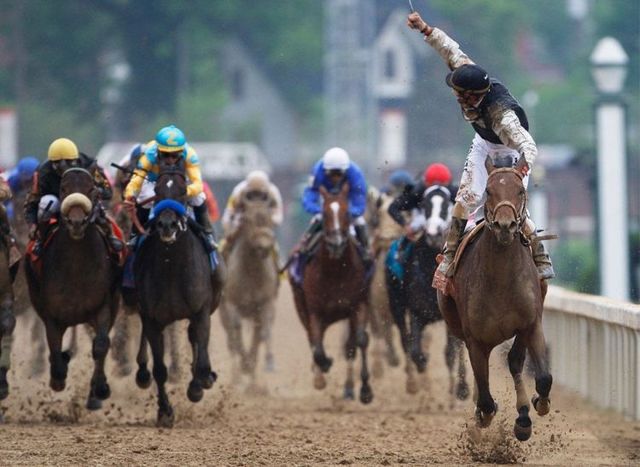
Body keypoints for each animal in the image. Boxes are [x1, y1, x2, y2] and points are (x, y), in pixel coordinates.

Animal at [24, 168, 122, 410]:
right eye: (63, 188)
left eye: (91, 188)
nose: (77, 222)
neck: (76, 267)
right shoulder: (51, 314)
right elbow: (55, 349)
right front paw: (57, 377)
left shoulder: (104, 305)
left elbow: (101, 345)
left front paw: (100, 389)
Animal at [131, 160, 224, 428]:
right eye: (157, 191)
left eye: (183, 191)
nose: (167, 225)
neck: (171, 265)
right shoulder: (152, 318)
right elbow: (160, 370)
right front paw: (165, 411)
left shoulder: (201, 311)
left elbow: (201, 358)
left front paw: (199, 385)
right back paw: (142, 373)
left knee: (195, 340)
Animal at [288, 185, 372, 404]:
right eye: (325, 213)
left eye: (347, 213)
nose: (336, 243)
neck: (336, 271)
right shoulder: (315, 311)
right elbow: (317, 347)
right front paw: (324, 366)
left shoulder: (358, 305)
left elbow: (360, 340)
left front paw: (366, 390)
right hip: (301, 306)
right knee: (312, 338)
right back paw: (319, 374)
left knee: (349, 345)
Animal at [382, 185, 468, 400]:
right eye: (424, 204)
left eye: (447, 204)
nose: (433, 232)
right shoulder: (417, 311)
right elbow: (415, 350)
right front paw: (422, 372)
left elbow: (451, 352)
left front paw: (458, 391)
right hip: (396, 305)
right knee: (405, 340)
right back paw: (413, 382)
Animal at [438, 157, 552, 442]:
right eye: (489, 191)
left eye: (520, 191)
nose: (505, 226)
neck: (501, 279)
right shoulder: (475, 339)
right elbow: (487, 398)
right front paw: (484, 413)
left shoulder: (530, 324)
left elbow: (542, 376)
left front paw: (536, 405)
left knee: (514, 362)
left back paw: (523, 416)